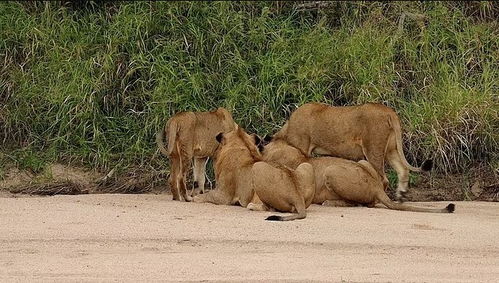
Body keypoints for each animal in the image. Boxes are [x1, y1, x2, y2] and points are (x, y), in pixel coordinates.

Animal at [274, 102, 434, 202]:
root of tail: (389, 112)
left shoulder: (301, 147)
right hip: (391, 149)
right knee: (403, 170)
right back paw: (400, 196)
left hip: (373, 148)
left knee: (384, 178)